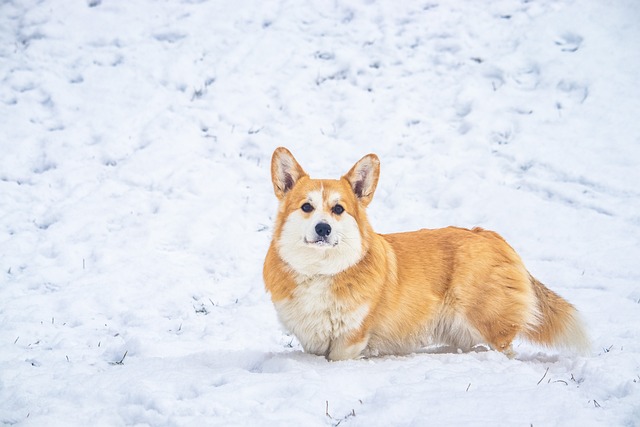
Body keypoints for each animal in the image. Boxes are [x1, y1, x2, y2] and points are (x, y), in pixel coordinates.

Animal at [262, 147, 592, 362]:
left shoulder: (350, 340)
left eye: (338, 209)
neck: (321, 271)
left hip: (484, 317)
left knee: (504, 348)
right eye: (306, 207)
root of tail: (489, 236)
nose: (323, 228)